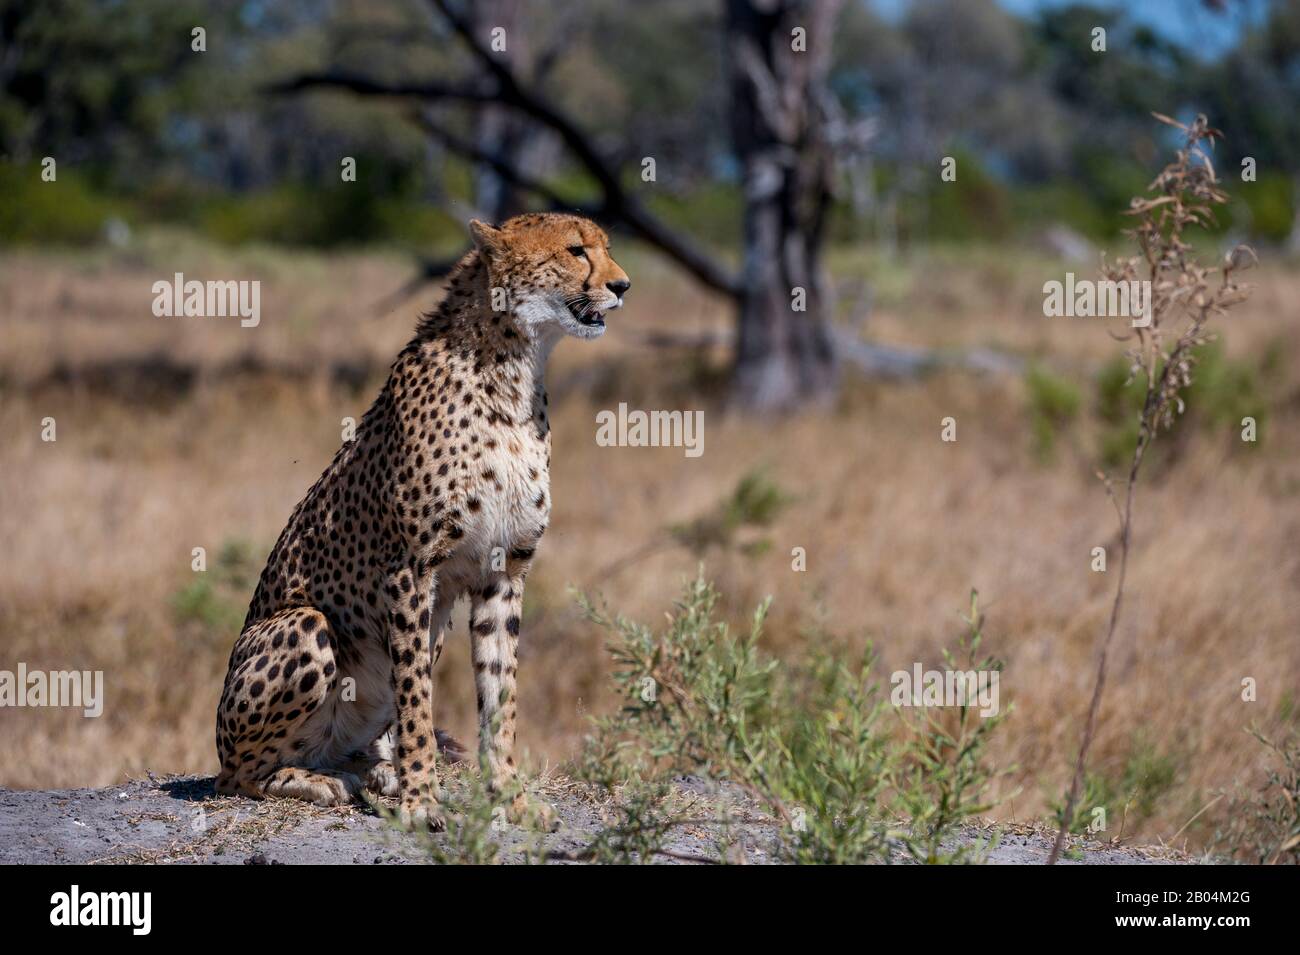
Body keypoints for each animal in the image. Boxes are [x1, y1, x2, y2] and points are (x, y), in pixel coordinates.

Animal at [214, 213, 630, 830]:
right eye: (576, 251)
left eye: (605, 247)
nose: (623, 285)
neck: (511, 371)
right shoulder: (410, 569)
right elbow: (416, 698)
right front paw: (420, 801)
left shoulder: (503, 571)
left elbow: (500, 692)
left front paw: (509, 794)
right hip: (305, 627)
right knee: (241, 775)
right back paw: (323, 780)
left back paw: (371, 771)